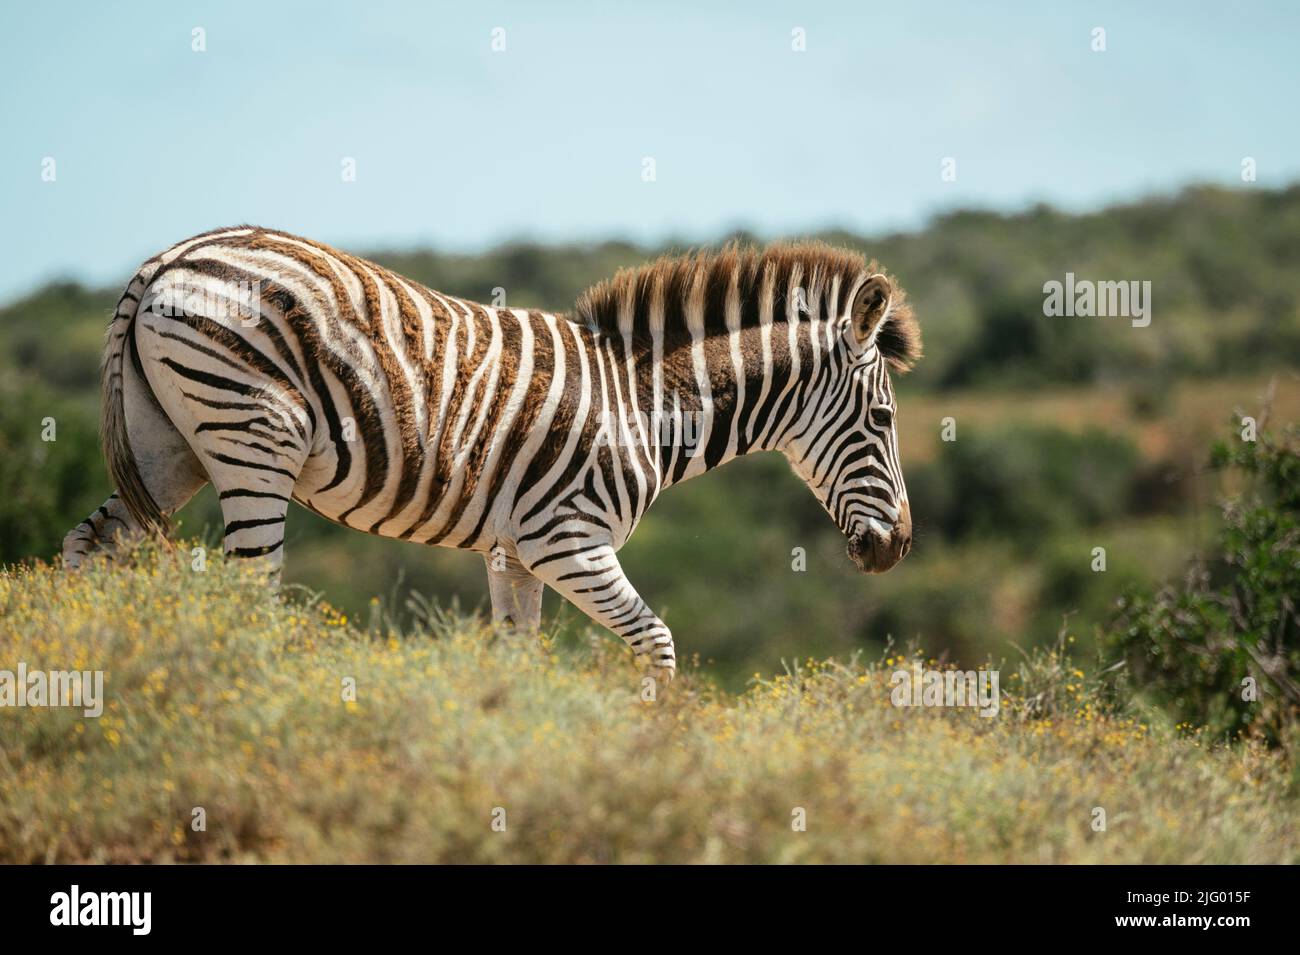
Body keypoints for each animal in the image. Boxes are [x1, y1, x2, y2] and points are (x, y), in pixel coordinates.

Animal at [61, 227, 920, 686]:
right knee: (248, 595)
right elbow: (658, 643)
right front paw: (657, 752)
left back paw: (87, 677)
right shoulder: (565, 540)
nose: (898, 549)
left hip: (169, 447)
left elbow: (519, 661)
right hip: (251, 442)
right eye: (882, 418)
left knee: (87, 543)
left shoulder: (512, 553)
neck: (645, 403)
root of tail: (168, 257)